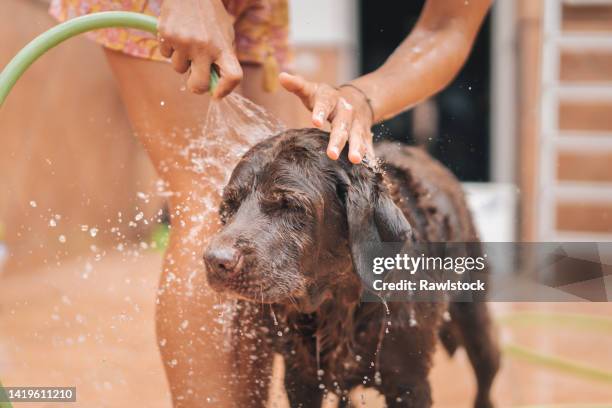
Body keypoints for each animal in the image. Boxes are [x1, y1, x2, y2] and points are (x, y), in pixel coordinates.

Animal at [203, 129, 500, 406]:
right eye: (229, 206)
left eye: (291, 205)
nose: (215, 260)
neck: (338, 303)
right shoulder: (301, 378)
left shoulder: (410, 384)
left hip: (475, 317)